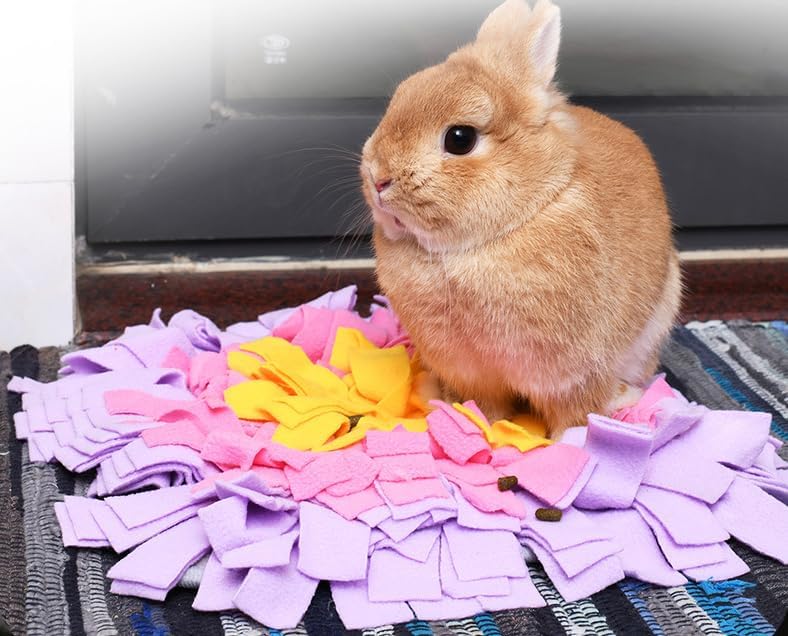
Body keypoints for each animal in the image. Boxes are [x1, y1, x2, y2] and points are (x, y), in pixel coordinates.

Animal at [360, 0, 681, 437]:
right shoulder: (474, 374)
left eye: (460, 138)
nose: (378, 177)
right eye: (399, 97)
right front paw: (484, 426)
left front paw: (567, 443)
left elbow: (573, 414)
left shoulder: (574, 374)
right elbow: (487, 405)